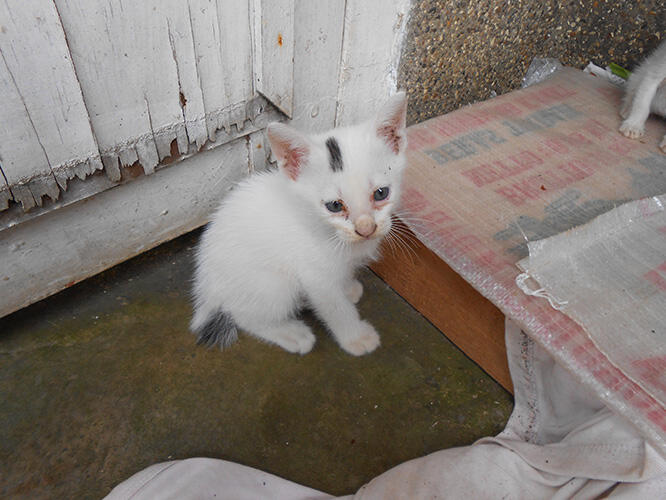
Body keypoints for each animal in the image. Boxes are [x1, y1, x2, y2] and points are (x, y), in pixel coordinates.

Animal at [189, 92, 408, 354]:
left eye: (381, 193)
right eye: (335, 206)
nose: (366, 229)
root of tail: (207, 285)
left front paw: (347, 288)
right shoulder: (314, 274)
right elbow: (335, 306)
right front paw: (356, 337)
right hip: (273, 284)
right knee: (244, 316)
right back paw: (291, 333)